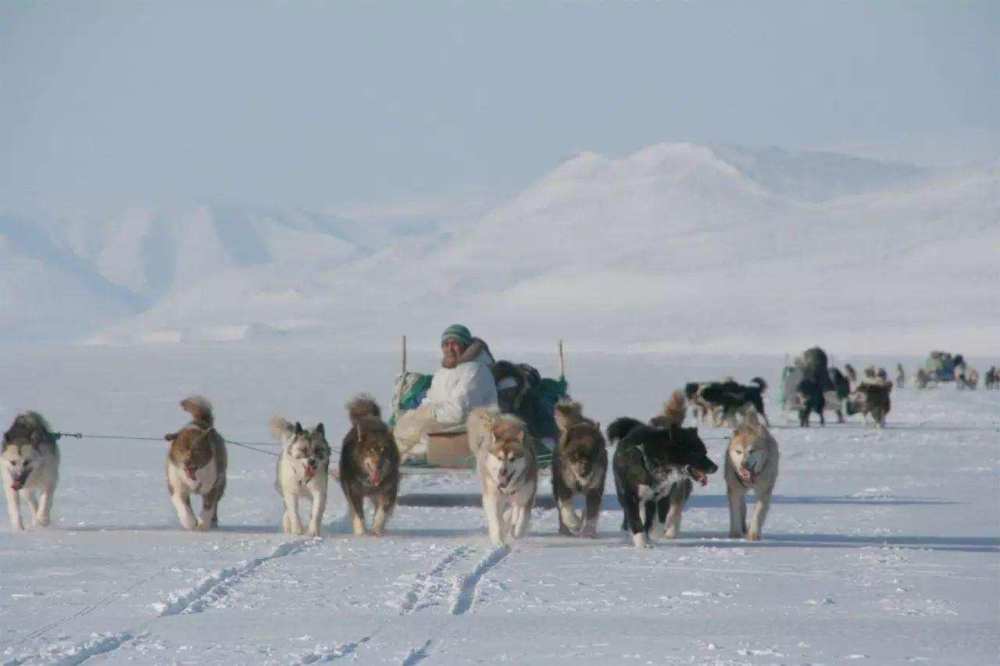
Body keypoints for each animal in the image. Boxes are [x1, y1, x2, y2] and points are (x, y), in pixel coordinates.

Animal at [164, 394, 227, 528]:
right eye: (181, 450)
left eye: (197, 450)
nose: (187, 462)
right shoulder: (176, 486)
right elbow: (183, 506)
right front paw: (190, 522)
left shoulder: (212, 485)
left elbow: (208, 506)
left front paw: (202, 524)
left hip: (221, 482)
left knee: (215, 503)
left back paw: (213, 521)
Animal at [338, 394, 396, 536]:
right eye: (370, 451)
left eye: (383, 450)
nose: (379, 465)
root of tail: (368, 416)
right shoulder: (353, 491)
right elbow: (358, 513)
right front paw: (361, 533)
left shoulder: (389, 489)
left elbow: (382, 512)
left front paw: (376, 529)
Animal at [468, 404, 540, 544]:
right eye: (499, 458)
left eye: (512, 459)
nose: (502, 471)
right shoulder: (492, 495)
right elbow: (496, 520)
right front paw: (498, 540)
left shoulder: (526, 495)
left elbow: (522, 518)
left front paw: (516, 531)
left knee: (514, 510)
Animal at [552, 400, 604, 536]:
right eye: (574, 456)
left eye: (592, 455)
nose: (584, 472)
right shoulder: (564, 486)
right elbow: (567, 508)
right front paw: (574, 524)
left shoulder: (595, 489)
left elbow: (592, 512)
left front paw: (589, 532)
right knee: (561, 512)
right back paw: (565, 530)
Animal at [728, 410, 780, 540]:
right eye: (738, 452)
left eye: (752, 451)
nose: (744, 464)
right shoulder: (734, 490)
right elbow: (735, 512)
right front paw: (735, 533)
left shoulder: (764, 491)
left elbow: (758, 512)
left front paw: (754, 534)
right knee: (742, 506)